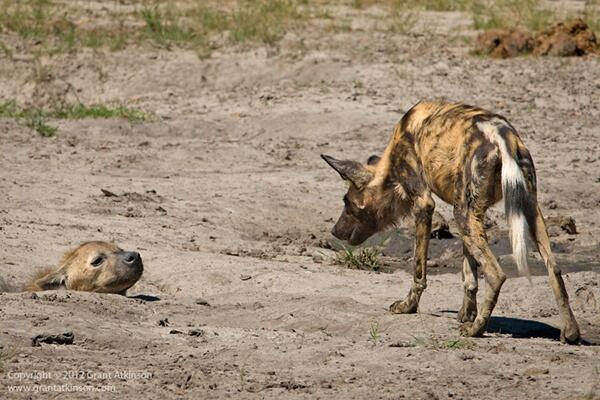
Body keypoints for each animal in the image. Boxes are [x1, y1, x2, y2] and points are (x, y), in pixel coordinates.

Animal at [324, 101, 580, 344]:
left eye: (347, 202)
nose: (334, 231)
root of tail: (504, 135)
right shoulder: (476, 213)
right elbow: (469, 274)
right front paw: (467, 313)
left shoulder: (424, 204)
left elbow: (419, 271)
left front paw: (408, 307)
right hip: (520, 211)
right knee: (554, 270)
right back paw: (571, 333)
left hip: (463, 215)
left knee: (496, 274)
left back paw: (476, 330)